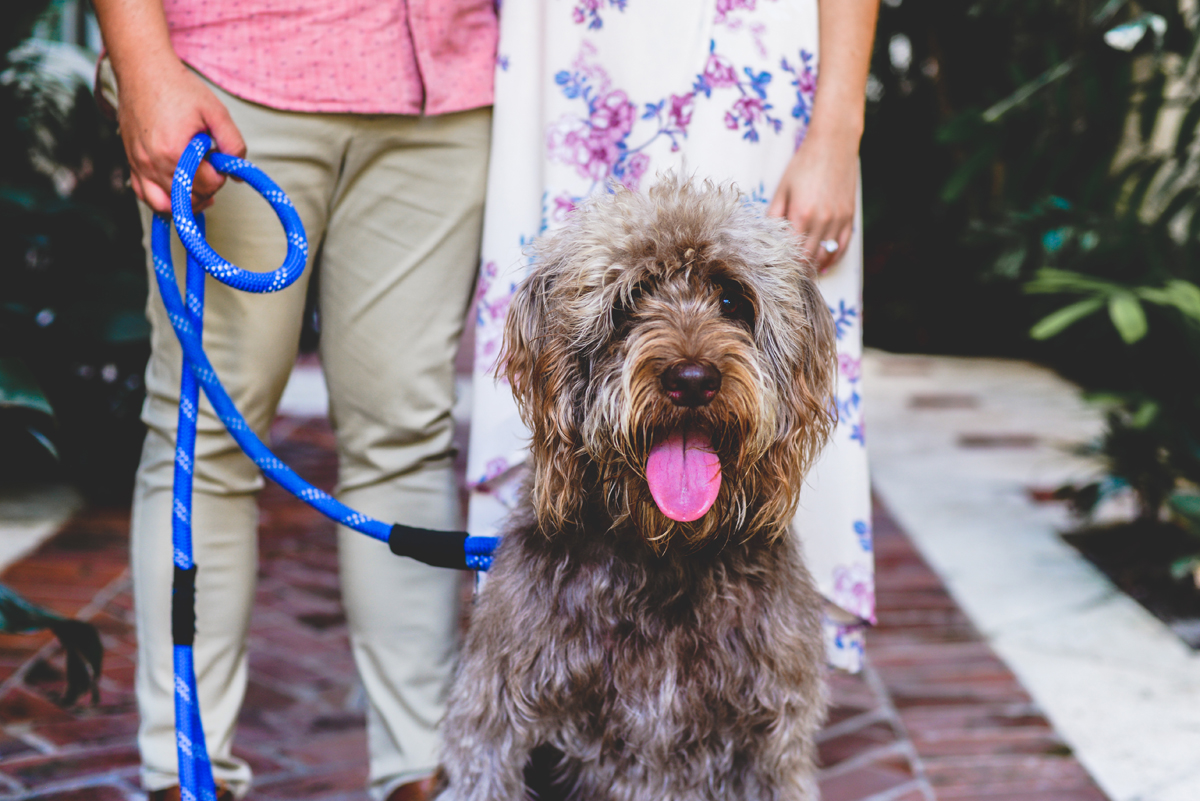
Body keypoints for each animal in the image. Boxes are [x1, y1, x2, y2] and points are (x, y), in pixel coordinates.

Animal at [436, 176, 840, 801]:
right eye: (630, 302)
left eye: (732, 300)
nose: (693, 380)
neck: (666, 550)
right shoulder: (493, 724)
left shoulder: (774, 739)